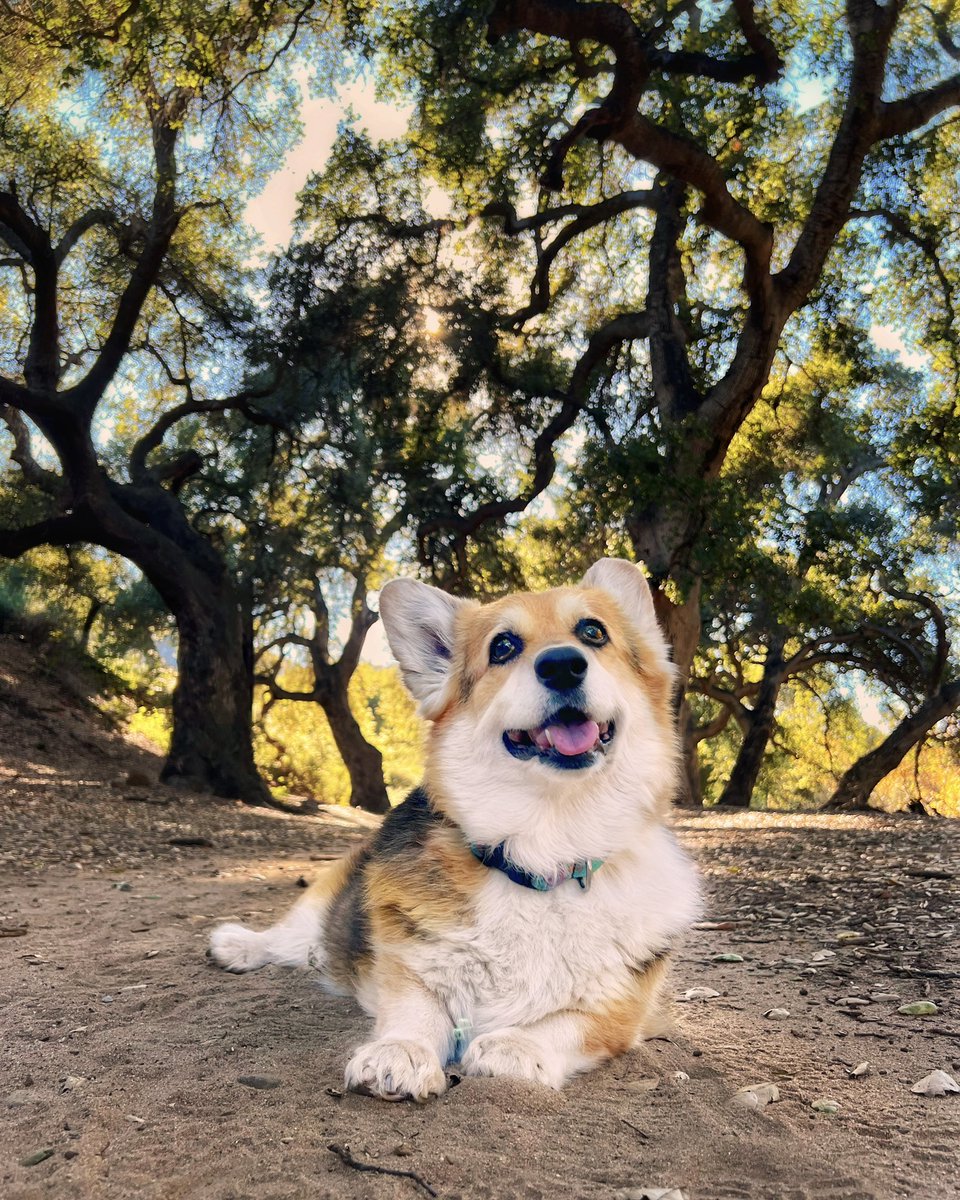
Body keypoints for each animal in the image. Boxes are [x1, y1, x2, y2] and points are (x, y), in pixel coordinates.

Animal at [207, 556, 696, 1099]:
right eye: (503, 647)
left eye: (593, 632)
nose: (562, 663)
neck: (543, 850)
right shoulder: (408, 966)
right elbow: (417, 1010)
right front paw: (399, 1051)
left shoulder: (621, 1011)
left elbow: (567, 1023)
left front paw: (517, 1045)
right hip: (322, 903)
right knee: (290, 936)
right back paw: (238, 945)